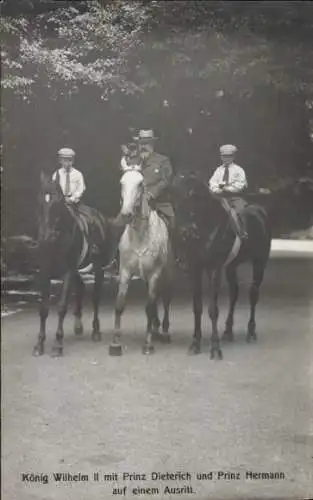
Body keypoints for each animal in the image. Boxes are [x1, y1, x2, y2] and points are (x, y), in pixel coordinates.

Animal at [33, 172, 119, 356]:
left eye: (57, 202)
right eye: (40, 201)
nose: (46, 236)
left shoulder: (67, 271)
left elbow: (61, 307)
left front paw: (58, 344)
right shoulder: (45, 271)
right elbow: (43, 309)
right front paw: (39, 343)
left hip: (97, 268)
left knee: (95, 298)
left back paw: (95, 331)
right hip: (77, 270)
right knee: (80, 288)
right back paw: (78, 326)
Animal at [109, 168, 173, 356]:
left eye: (140, 184)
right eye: (121, 183)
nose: (126, 214)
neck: (140, 235)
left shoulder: (155, 274)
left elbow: (150, 307)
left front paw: (147, 344)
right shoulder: (125, 272)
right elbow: (120, 304)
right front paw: (115, 343)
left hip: (168, 274)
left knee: (165, 300)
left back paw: (164, 332)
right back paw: (156, 328)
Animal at [171, 172, 270, 360]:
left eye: (193, 196)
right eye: (174, 197)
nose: (184, 233)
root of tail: (261, 212)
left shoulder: (213, 269)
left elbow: (212, 309)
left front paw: (215, 348)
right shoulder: (195, 269)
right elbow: (197, 307)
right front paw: (195, 344)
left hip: (260, 262)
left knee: (253, 294)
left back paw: (250, 332)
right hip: (232, 266)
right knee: (234, 294)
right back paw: (228, 331)